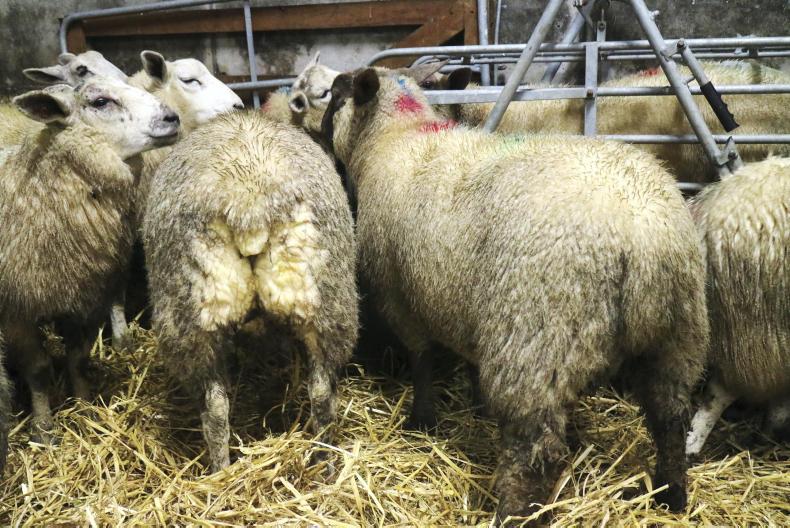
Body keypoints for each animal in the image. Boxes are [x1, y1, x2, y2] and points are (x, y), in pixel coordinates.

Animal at [0, 79, 179, 443]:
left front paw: (84, 407)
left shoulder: (83, 298)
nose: (173, 117)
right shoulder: (17, 310)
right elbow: (38, 370)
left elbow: (77, 360)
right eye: (100, 102)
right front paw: (44, 429)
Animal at [142, 110, 358, 473]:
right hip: (326, 300)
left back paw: (220, 471)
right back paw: (325, 461)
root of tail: (249, 204)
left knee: (214, 407)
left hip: (190, 319)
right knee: (321, 393)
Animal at [321, 66, 708, 521]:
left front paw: (422, 420)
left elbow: (422, 361)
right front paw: (475, 404)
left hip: (537, 334)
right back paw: (671, 495)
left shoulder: (400, 297)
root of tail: (643, 236)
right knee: (670, 419)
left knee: (534, 448)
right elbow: (467, 361)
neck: (397, 135)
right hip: (678, 333)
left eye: (334, 96)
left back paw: (513, 512)